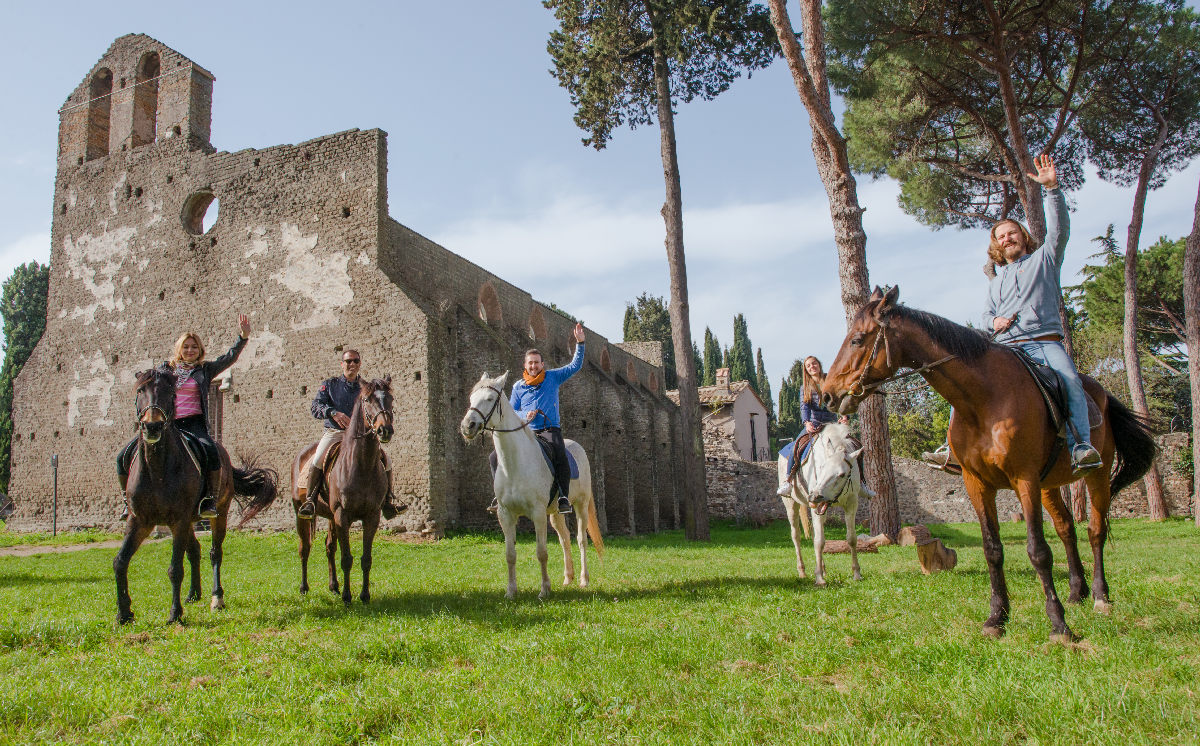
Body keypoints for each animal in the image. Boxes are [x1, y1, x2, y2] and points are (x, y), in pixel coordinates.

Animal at [114, 369, 278, 623]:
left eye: (171, 393)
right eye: (140, 390)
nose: (152, 426)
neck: (157, 471)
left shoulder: (179, 520)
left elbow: (175, 569)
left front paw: (174, 614)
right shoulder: (139, 520)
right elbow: (120, 561)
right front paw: (124, 613)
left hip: (217, 515)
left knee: (214, 553)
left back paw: (216, 597)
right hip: (188, 521)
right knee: (195, 550)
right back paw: (193, 593)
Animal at [289, 378, 393, 609]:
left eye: (391, 398)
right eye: (367, 400)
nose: (385, 430)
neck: (361, 465)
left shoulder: (371, 517)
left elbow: (366, 559)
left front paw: (364, 596)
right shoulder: (342, 515)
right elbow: (347, 558)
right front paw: (347, 597)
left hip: (330, 517)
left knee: (329, 548)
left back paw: (334, 586)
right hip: (302, 514)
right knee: (304, 548)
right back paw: (304, 587)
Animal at [460, 371, 609, 602]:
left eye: (490, 399)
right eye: (471, 398)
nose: (468, 426)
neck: (514, 463)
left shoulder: (537, 513)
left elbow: (541, 552)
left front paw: (544, 590)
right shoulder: (505, 514)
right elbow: (510, 554)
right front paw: (511, 591)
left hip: (581, 505)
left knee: (581, 540)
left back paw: (584, 579)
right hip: (556, 512)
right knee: (565, 539)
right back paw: (568, 578)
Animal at [777, 424, 873, 587]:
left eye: (842, 474)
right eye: (821, 467)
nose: (814, 496)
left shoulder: (851, 504)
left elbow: (852, 539)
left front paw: (857, 573)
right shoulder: (816, 508)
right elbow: (819, 541)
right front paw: (819, 578)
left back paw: (823, 568)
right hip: (791, 505)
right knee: (796, 535)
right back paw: (802, 571)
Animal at [820, 287, 1156, 642]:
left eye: (857, 339)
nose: (827, 395)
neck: (982, 399)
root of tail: (1100, 391)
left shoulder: (1024, 478)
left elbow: (1038, 550)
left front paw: (1058, 624)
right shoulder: (976, 483)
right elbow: (992, 549)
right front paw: (997, 617)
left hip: (1097, 473)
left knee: (1095, 530)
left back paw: (1100, 596)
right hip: (1049, 484)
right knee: (1067, 529)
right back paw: (1077, 591)